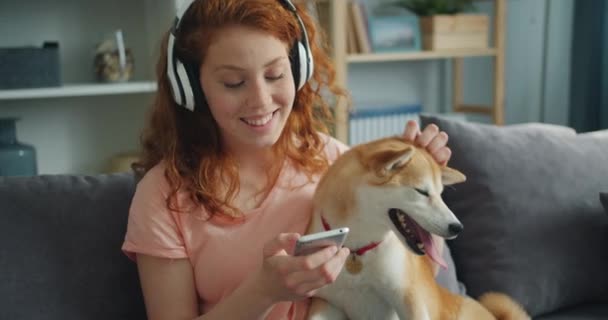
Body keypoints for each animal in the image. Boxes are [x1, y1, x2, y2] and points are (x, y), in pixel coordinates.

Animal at [304, 137, 528, 320]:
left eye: (440, 194)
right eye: (422, 192)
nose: (458, 227)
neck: (358, 250)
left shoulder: (409, 297)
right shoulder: (327, 303)